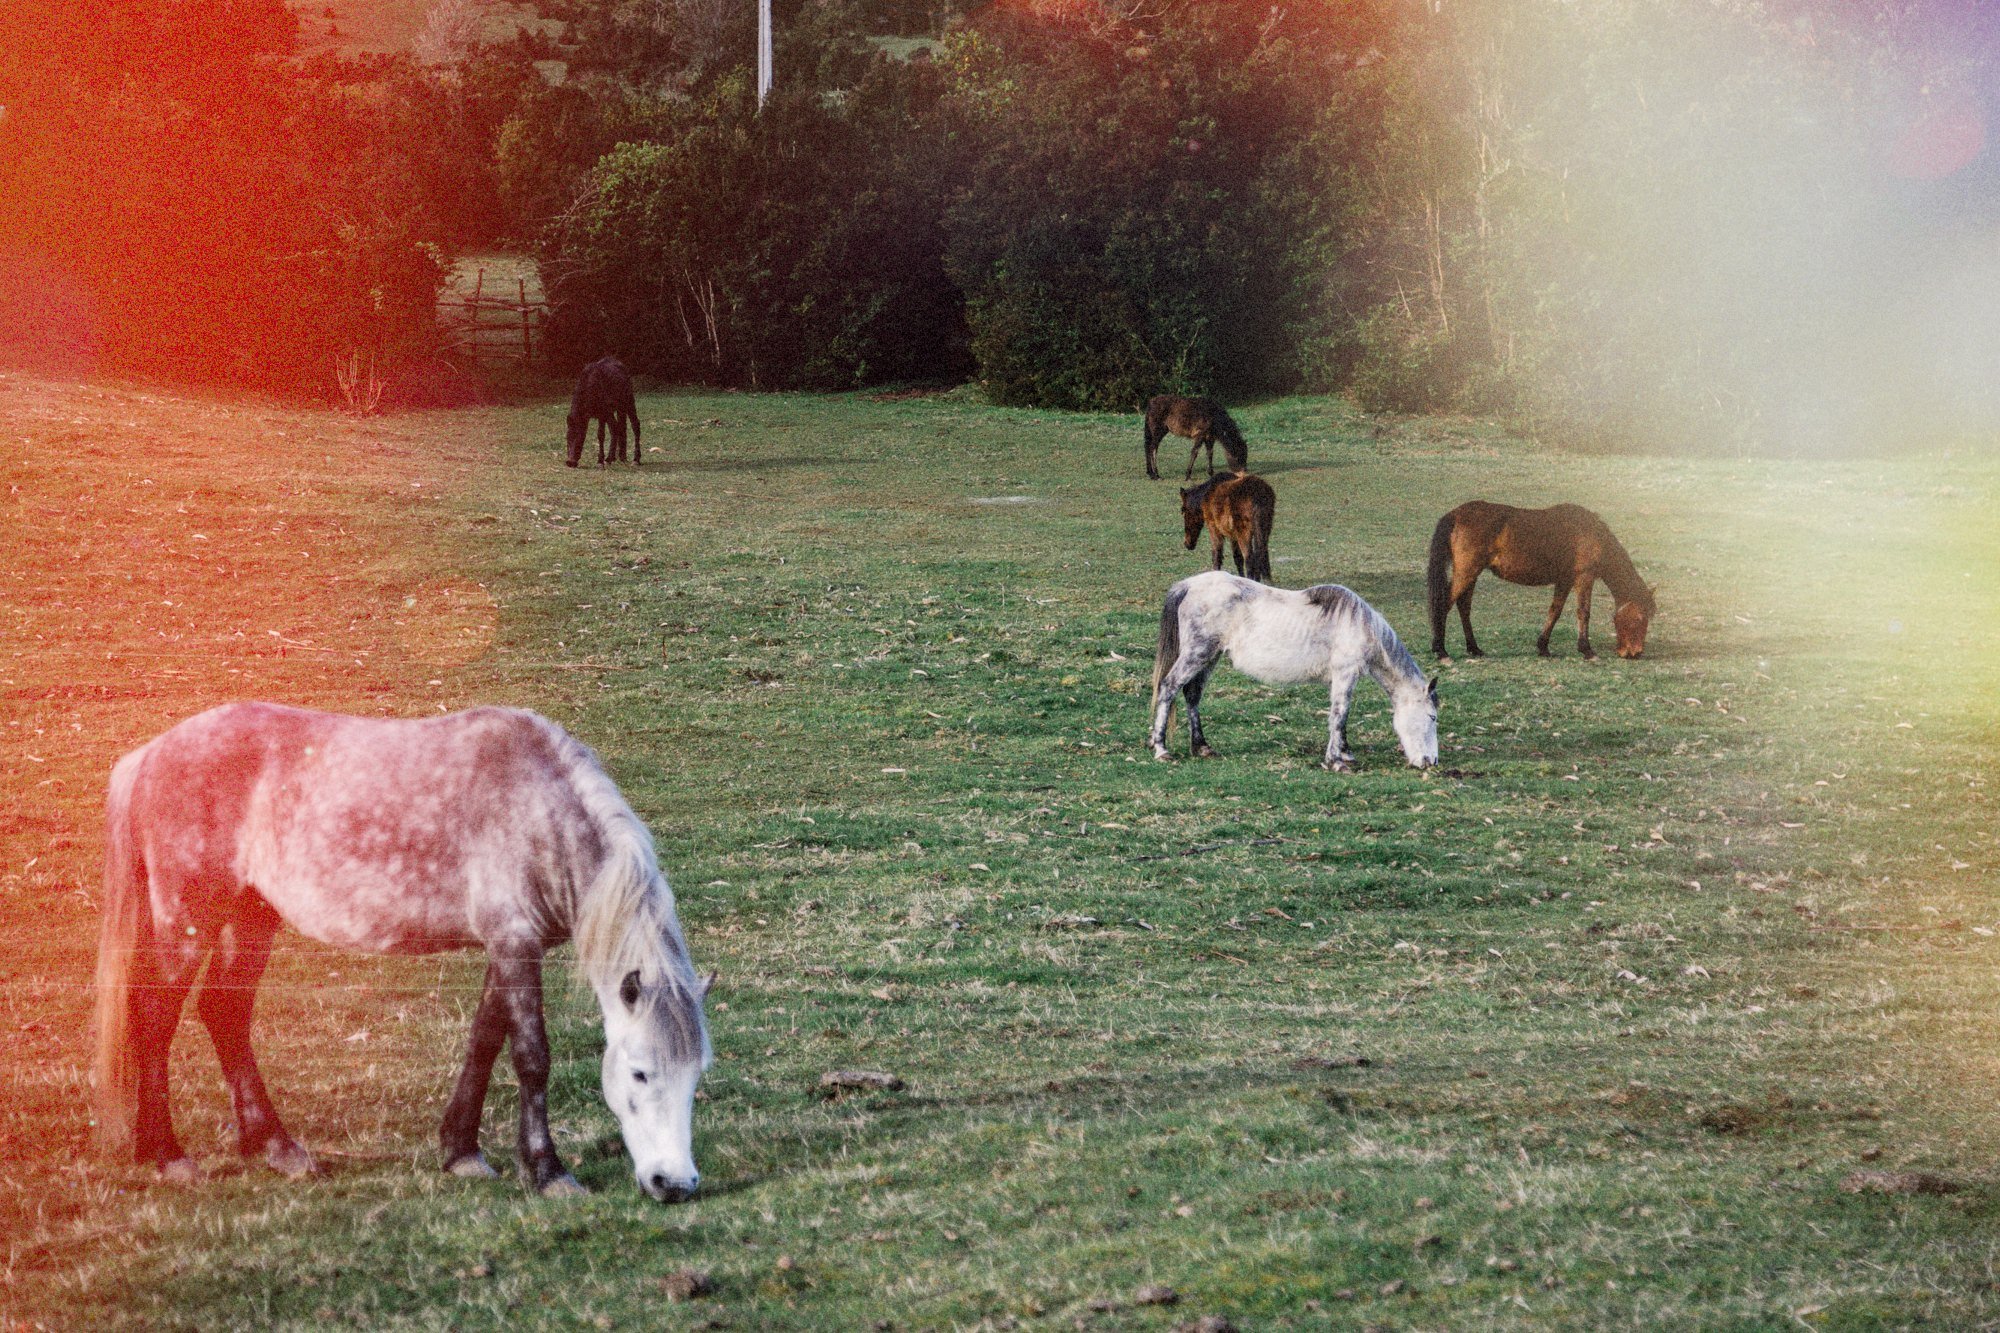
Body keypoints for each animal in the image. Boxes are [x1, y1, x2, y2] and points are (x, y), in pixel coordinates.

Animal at [92, 702, 713, 1202]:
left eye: (697, 1074)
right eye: (639, 1073)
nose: (674, 1183)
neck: (540, 806)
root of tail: (150, 755)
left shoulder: (508, 946)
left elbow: (484, 1041)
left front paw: (461, 1152)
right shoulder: (516, 942)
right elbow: (531, 1055)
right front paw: (547, 1171)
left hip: (250, 918)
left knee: (225, 1015)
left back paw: (277, 1148)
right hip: (188, 922)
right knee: (155, 1019)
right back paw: (168, 1155)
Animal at [1149, 571, 1439, 771]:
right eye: (1432, 717)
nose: (1431, 761)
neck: (1359, 625)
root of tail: (1189, 585)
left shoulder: (1341, 679)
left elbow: (1340, 716)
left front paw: (1345, 753)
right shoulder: (1345, 674)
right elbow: (1339, 715)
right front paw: (1336, 761)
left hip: (1209, 657)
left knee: (1192, 695)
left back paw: (1202, 747)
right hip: (1197, 654)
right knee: (1168, 687)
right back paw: (1161, 748)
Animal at [1425, 500, 1656, 661]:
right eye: (1639, 618)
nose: (1634, 653)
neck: (1590, 532)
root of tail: (1456, 514)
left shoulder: (1565, 580)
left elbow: (1555, 610)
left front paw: (1543, 647)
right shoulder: (1584, 577)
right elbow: (1583, 612)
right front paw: (1587, 650)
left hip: (1471, 574)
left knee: (1463, 607)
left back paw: (1474, 648)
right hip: (1467, 572)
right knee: (1444, 605)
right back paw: (1441, 650)